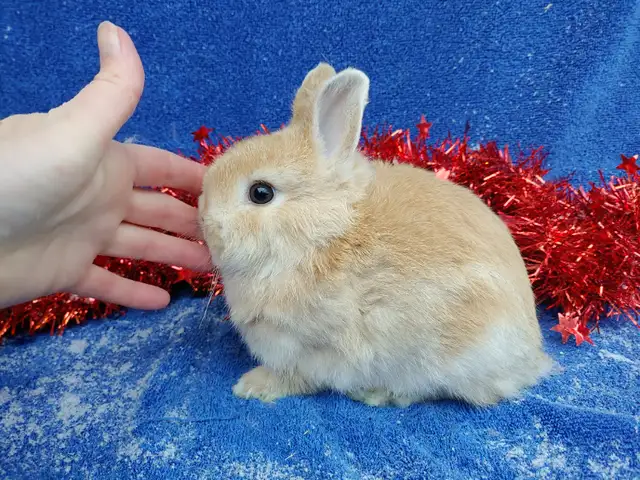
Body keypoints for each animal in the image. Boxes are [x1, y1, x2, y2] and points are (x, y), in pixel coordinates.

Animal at [198, 62, 553, 407]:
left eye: (261, 193)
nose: (204, 219)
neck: (322, 235)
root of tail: (530, 354)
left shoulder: (314, 349)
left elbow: (298, 377)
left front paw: (253, 385)